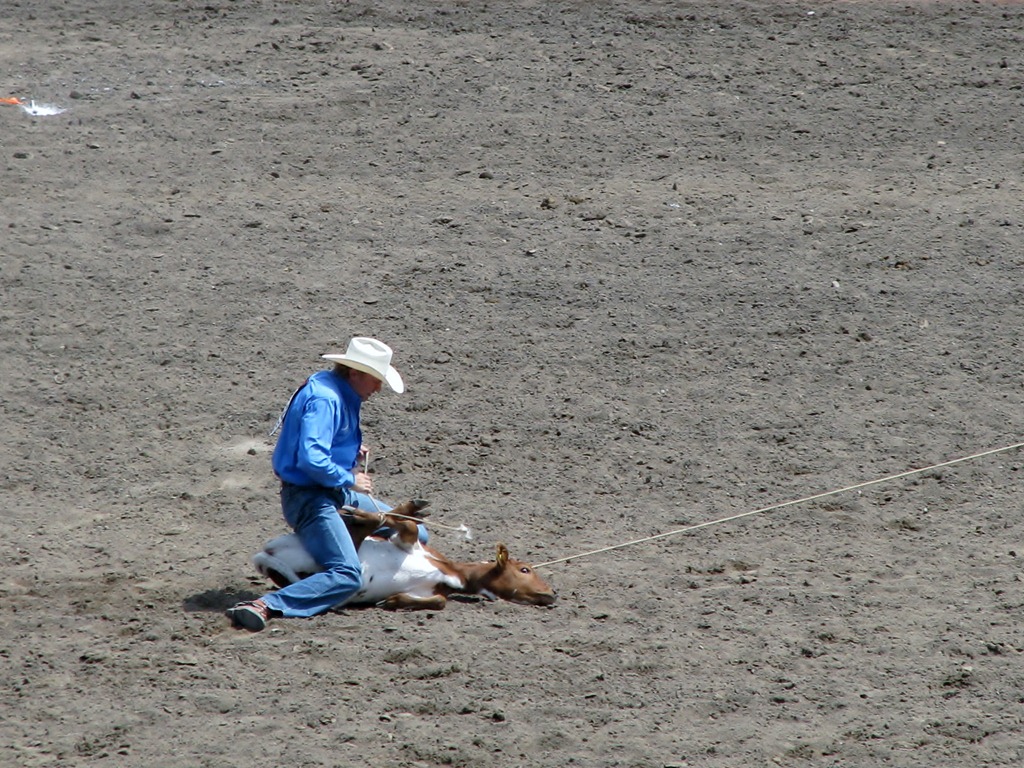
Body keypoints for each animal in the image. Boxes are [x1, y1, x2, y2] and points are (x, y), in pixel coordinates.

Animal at [250, 501, 557, 610]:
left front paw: (392, 601)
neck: (453, 573)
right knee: (358, 535)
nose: (553, 592)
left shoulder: (429, 590)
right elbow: (408, 526)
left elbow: (437, 601)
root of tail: (264, 554)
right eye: (525, 569)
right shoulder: (407, 543)